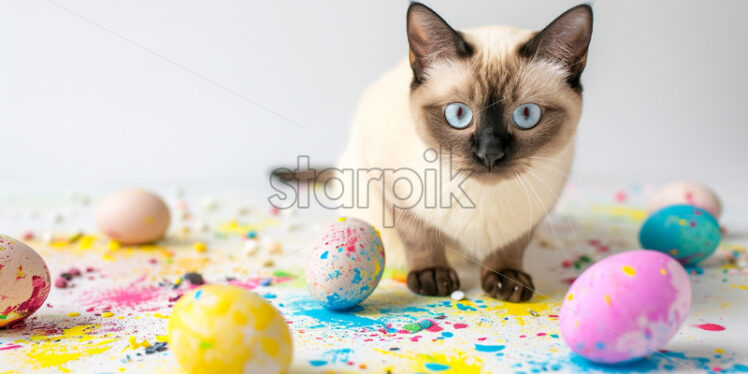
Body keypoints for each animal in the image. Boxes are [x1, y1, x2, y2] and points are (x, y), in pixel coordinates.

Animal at [336, 2, 592, 300]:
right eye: (458, 114)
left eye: (526, 115)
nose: (489, 153)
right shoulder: (389, 184)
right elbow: (420, 237)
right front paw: (433, 275)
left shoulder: (535, 213)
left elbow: (511, 245)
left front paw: (507, 279)